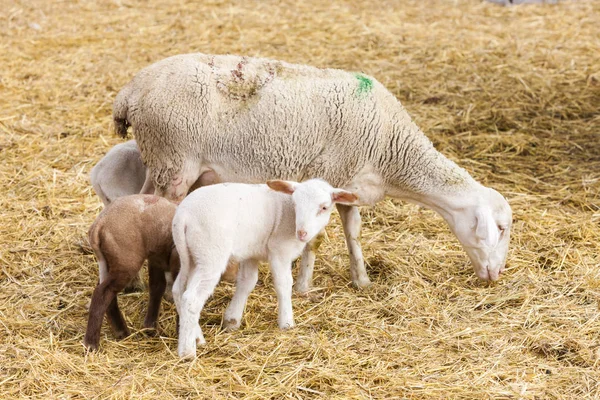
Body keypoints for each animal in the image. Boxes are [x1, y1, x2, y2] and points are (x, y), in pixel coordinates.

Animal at [84, 194, 178, 350]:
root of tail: (99, 223)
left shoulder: (156, 258)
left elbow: (157, 288)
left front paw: (150, 328)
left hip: (109, 263)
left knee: (107, 294)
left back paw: (121, 331)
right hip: (126, 262)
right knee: (102, 293)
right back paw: (91, 344)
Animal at [115, 54, 512, 290]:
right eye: (501, 228)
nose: (496, 275)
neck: (392, 150)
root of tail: (130, 90)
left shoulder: (350, 184)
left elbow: (354, 234)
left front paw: (362, 280)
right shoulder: (328, 174)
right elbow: (317, 239)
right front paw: (304, 286)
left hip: (158, 159)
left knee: (139, 203)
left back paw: (135, 281)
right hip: (175, 161)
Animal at [171, 179, 358, 360]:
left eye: (324, 207)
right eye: (295, 204)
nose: (302, 233)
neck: (290, 216)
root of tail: (183, 216)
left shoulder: (251, 253)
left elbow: (247, 282)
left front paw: (232, 320)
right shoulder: (279, 250)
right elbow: (283, 284)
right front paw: (286, 322)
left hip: (193, 255)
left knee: (178, 290)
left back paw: (196, 338)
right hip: (211, 254)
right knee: (191, 298)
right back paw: (187, 352)